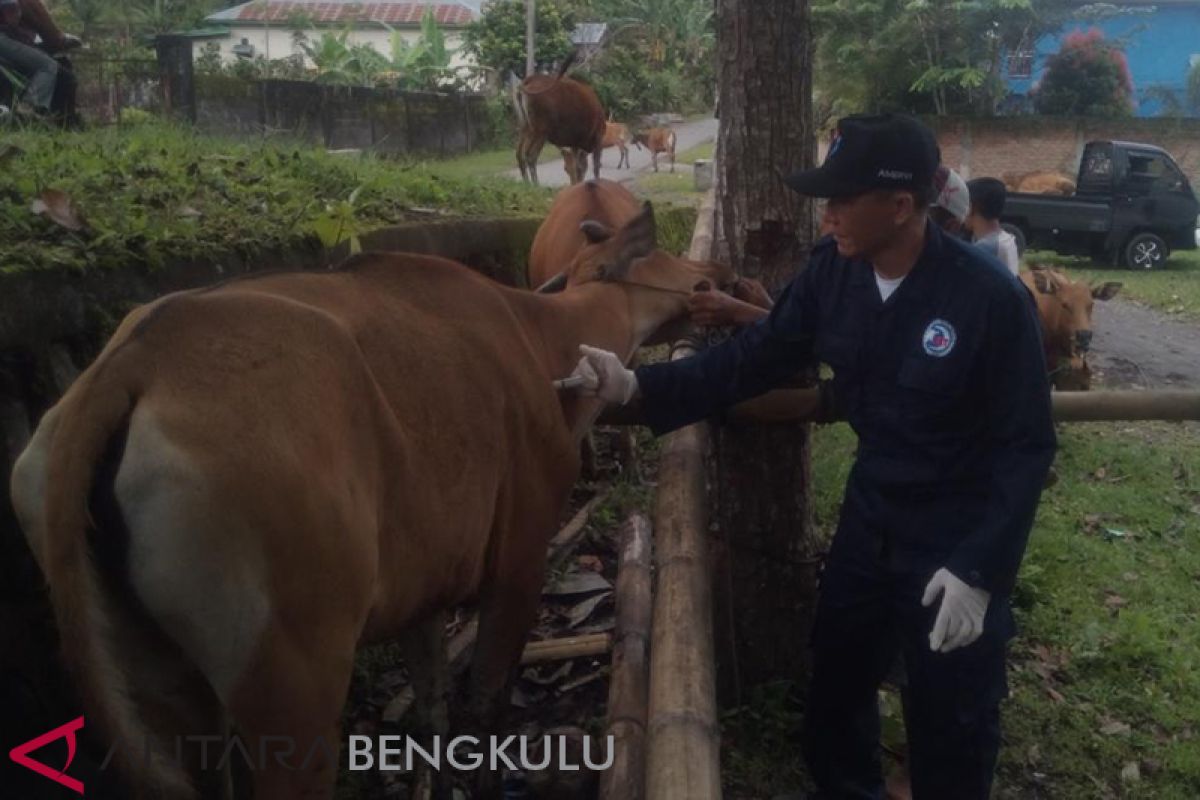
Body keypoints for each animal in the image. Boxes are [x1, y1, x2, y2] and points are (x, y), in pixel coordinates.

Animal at [11, 208, 729, 800]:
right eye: (665, 255)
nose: (716, 272)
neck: (541, 334)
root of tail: (126, 369)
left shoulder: (426, 587)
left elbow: (434, 708)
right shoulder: (520, 562)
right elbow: (485, 702)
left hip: (169, 690)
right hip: (293, 686)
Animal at [511, 53, 604, 188]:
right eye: (564, 169)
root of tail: (524, 84)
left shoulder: (575, 142)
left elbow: (578, 166)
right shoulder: (597, 136)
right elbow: (594, 167)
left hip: (525, 126)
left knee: (519, 153)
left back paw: (526, 183)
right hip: (541, 129)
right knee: (530, 155)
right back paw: (536, 185)